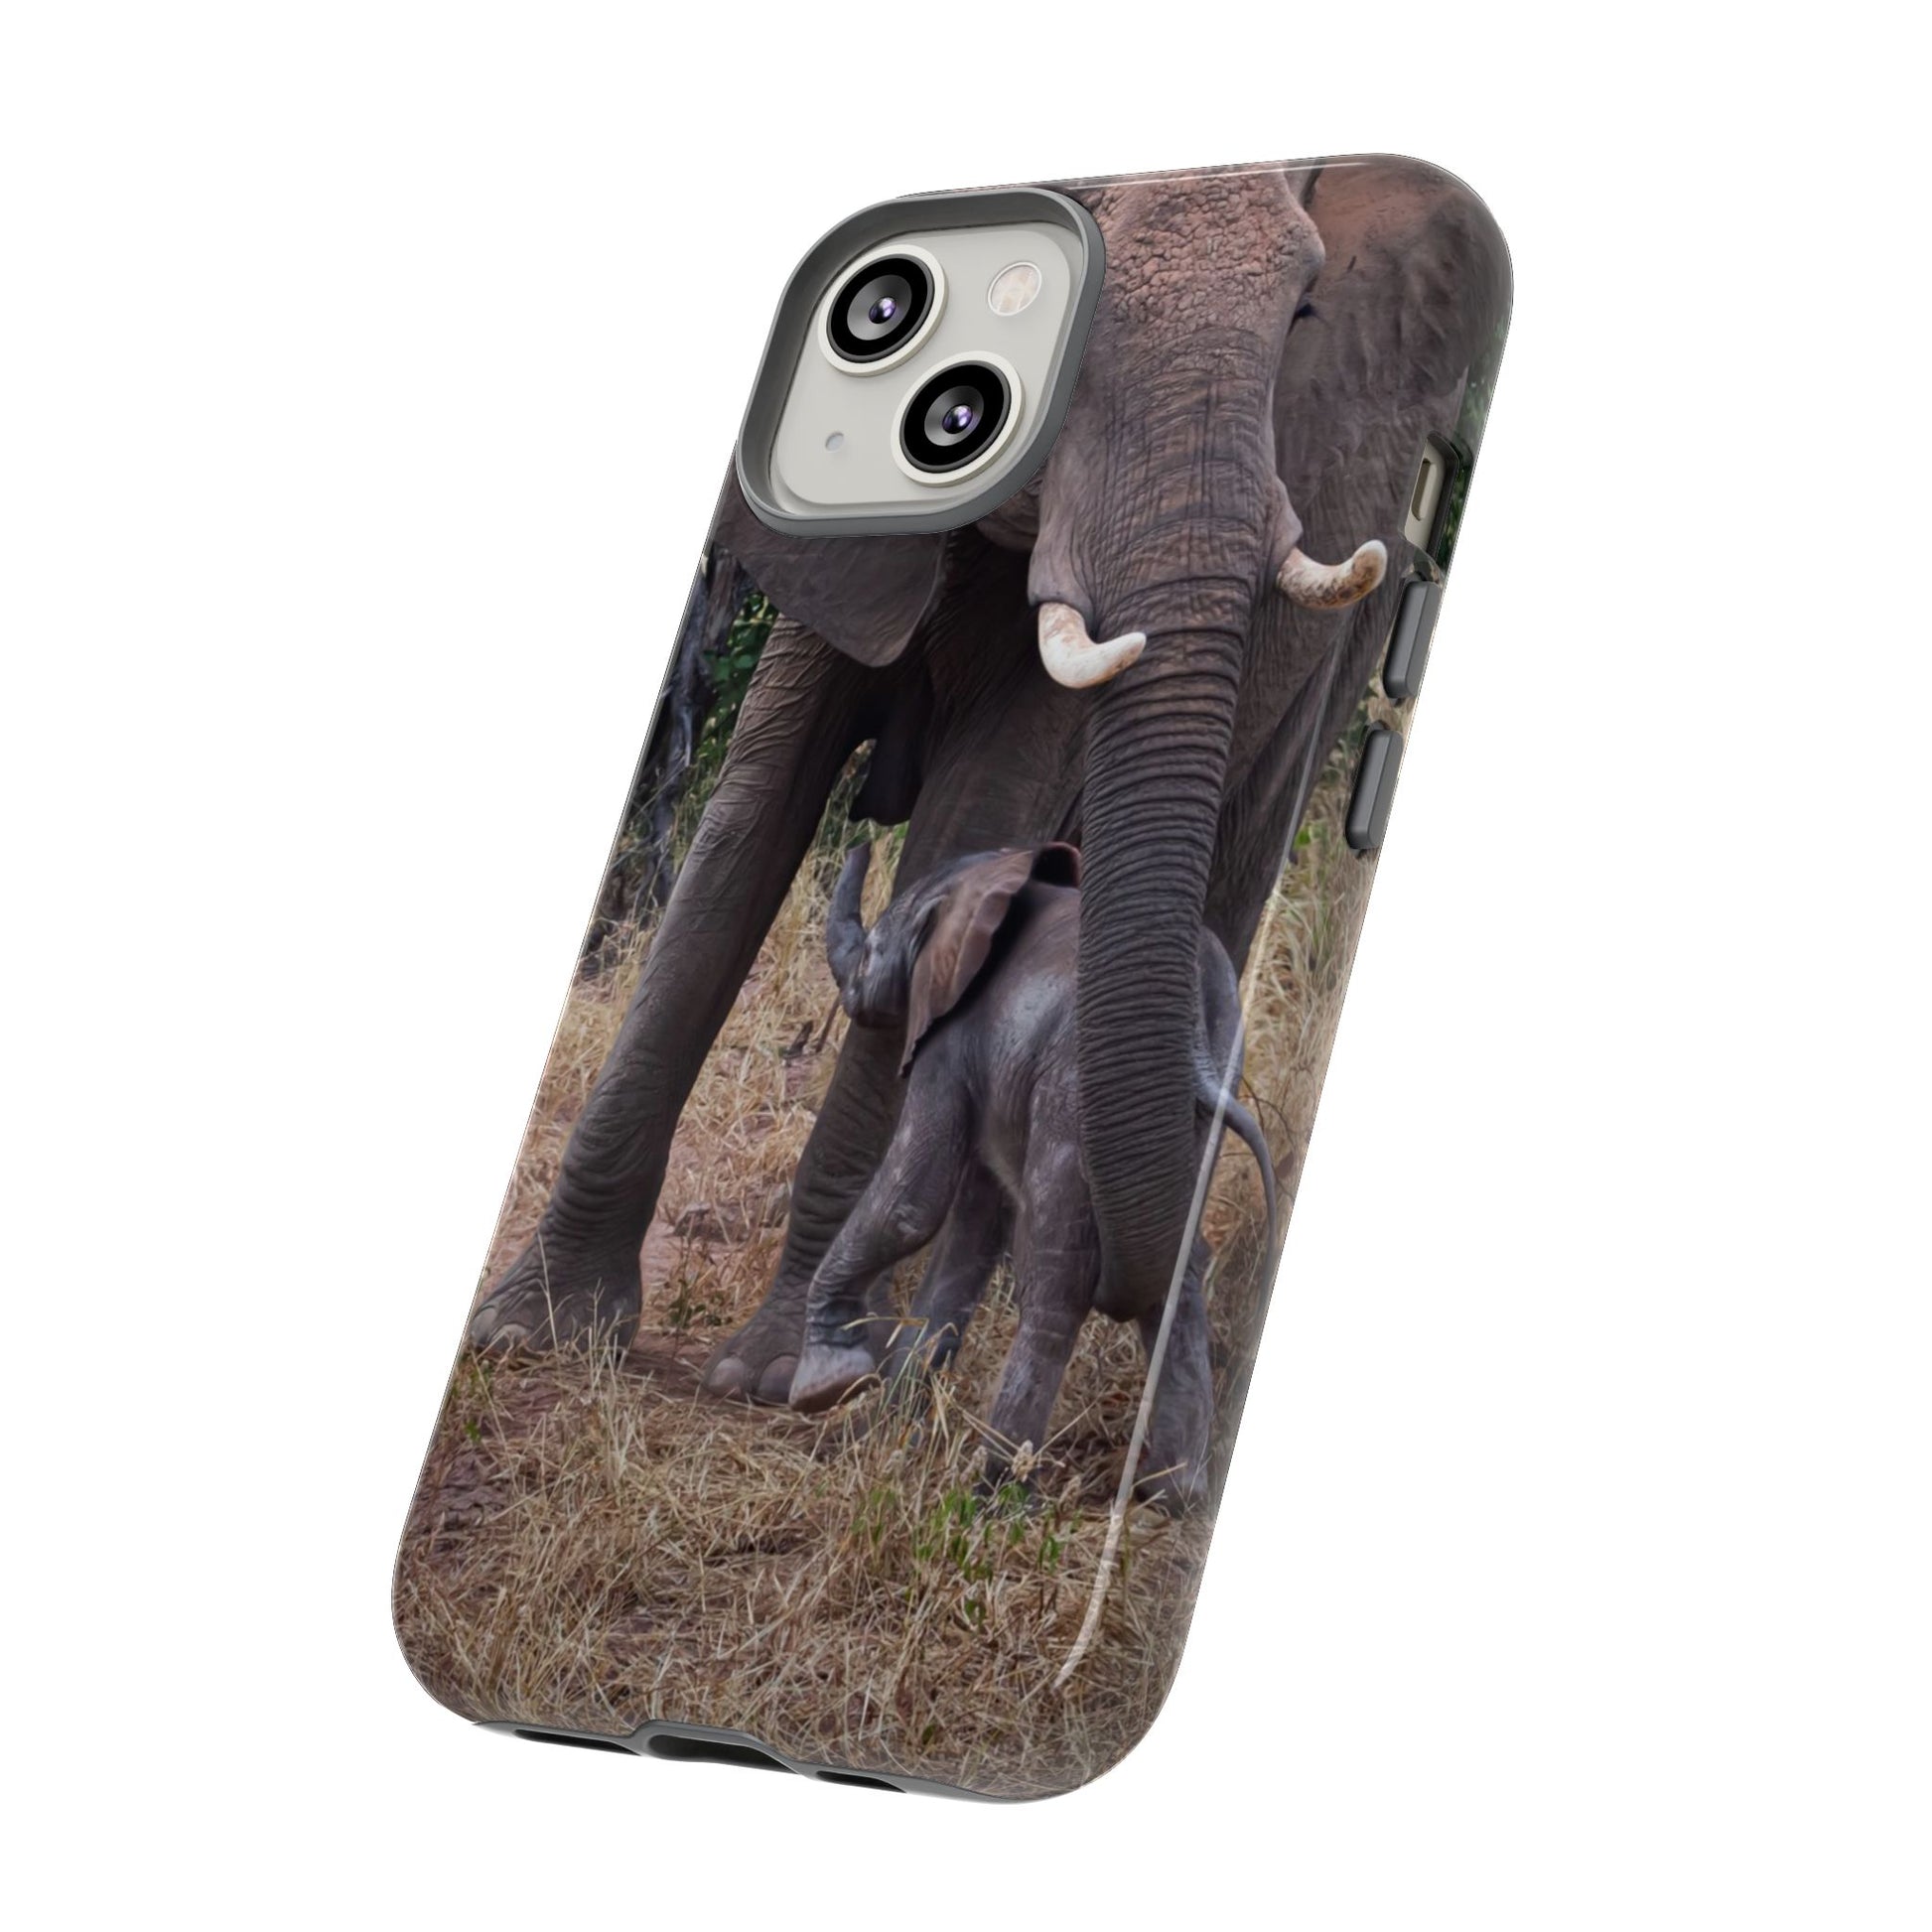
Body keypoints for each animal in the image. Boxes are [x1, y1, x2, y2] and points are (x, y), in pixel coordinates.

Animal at [787, 840, 1278, 1506]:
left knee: (1056, 1274)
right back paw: (1169, 1495)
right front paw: (889, 1428)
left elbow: (914, 1202)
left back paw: (997, 1490)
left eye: (873, 950)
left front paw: (827, 1385)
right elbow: (970, 1230)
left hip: (1076, 1088)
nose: (862, 840)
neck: (991, 877)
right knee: (1178, 1268)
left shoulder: (952, 1038)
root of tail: (1198, 1022)